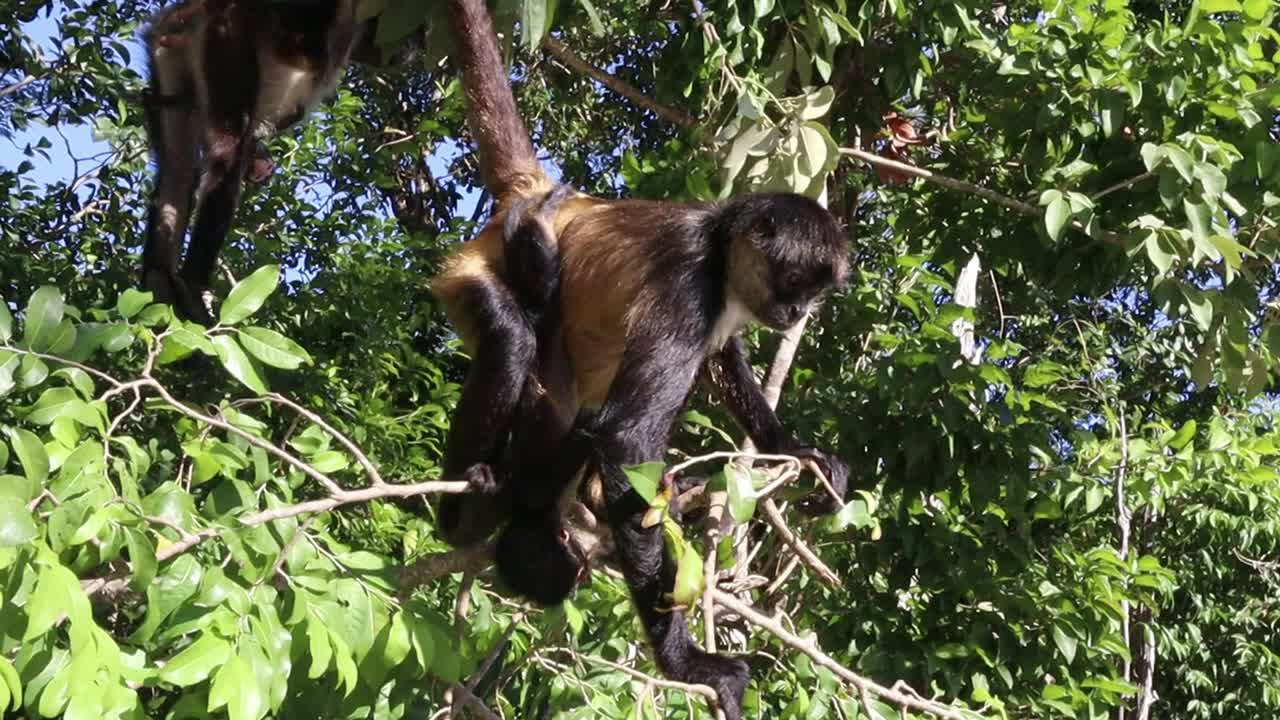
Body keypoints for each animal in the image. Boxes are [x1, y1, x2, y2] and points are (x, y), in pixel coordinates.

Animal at [139, 0, 369, 324]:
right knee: (228, 150)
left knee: (178, 166)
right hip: (227, 35)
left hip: (170, 60)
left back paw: (158, 280)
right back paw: (192, 284)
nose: (266, 173)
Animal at [429, 1, 852, 716]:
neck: (717, 249)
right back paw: (464, 517)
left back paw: (540, 515)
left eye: (814, 293)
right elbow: (628, 440)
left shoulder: (720, 308)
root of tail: (550, 199)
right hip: (473, 274)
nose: (797, 313)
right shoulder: (688, 284)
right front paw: (686, 663)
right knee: (513, 341)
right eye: (794, 282)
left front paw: (798, 452)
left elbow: (722, 362)